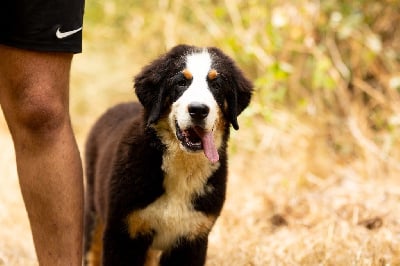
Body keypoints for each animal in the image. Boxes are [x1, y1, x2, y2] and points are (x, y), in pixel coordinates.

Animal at [83, 44, 253, 264]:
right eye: (181, 82)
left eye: (216, 85)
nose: (198, 109)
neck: (183, 167)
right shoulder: (123, 235)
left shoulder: (193, 237)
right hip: (94, 214)